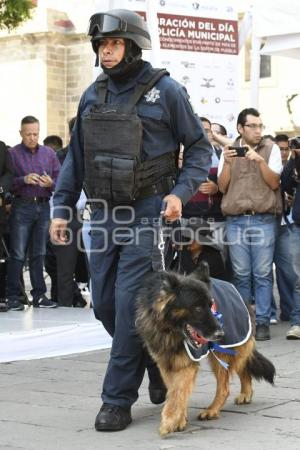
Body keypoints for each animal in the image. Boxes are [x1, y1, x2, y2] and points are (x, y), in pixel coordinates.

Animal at [135, 264, 274, 436]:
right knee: (243, 368)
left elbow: (177, 392)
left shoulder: (186, 365)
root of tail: (234, 288)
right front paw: (180, 419)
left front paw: (169, 421)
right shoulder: (165, 363)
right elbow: (176, 391)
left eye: (210, 306)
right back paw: (245, 393)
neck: (170, 331)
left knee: (225, 386)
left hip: (222, 352)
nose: (220, 334)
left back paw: (212, 410)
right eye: (197, 308)